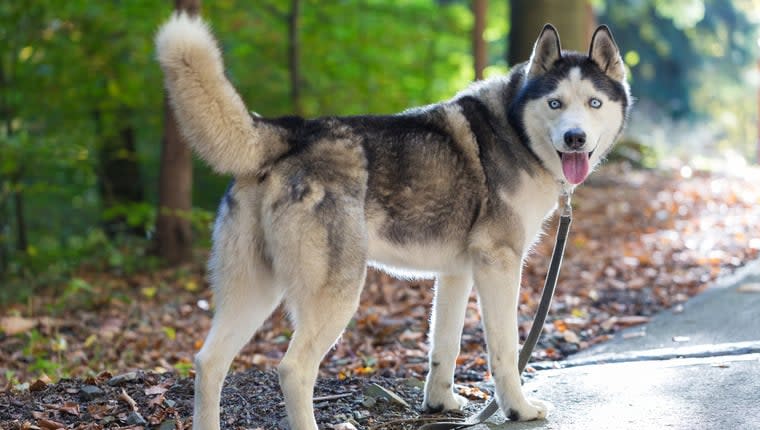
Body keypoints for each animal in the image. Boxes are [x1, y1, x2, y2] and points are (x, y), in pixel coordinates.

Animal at [154, 13, 628, 430]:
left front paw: (440, 404)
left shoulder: (456, 273)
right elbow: (505, 351)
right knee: (292, 370)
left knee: (209, 362)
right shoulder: (499, 265)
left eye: (594, 103)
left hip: (254, 291)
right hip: (337, 294)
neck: (515, 128)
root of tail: (291, 131)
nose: (575, 138)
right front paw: (518, 409)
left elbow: (445, 345)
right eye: (555, 103)